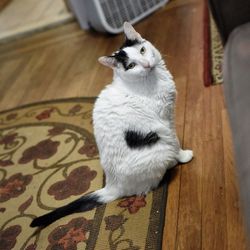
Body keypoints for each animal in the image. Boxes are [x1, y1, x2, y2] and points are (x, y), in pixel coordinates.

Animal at [29, 22, 193, 228]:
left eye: (142, 50)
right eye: (131, 66)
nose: (147, 64)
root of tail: (112, 185)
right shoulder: (166, 120)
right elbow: (175, 141)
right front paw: (184, 156)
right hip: (160, 147)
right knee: (150, 181)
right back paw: (171, 163)